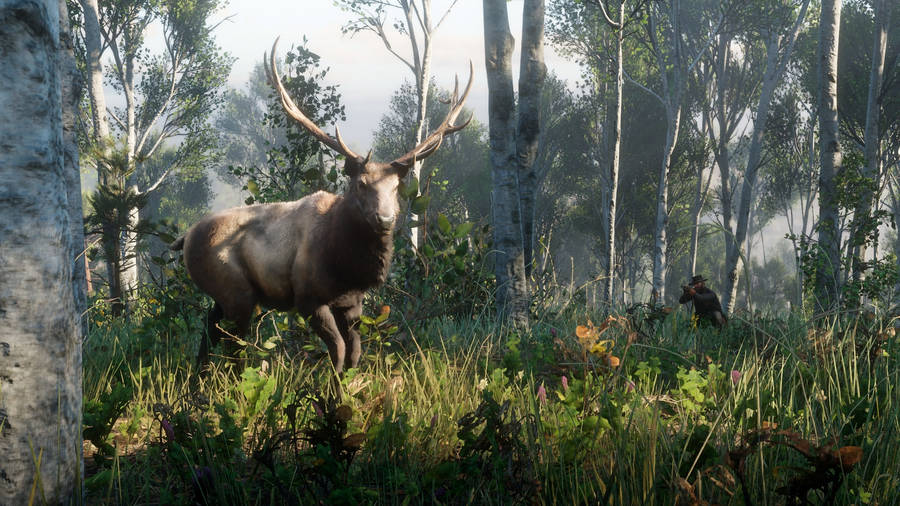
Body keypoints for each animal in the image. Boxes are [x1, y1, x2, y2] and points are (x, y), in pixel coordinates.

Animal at [170, 38, 472, 374]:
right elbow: (338, 350)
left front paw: (346, 382)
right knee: (231, 344)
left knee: (208, 329)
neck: (344, 265)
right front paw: (330, 383)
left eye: (396, 187)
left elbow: (354, 352)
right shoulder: (308, 298)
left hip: (224, 296)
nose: (385, 218)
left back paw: (197, 379)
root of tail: (185, 237)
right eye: (361, 184)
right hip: (237, 292)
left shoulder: (352, 303)